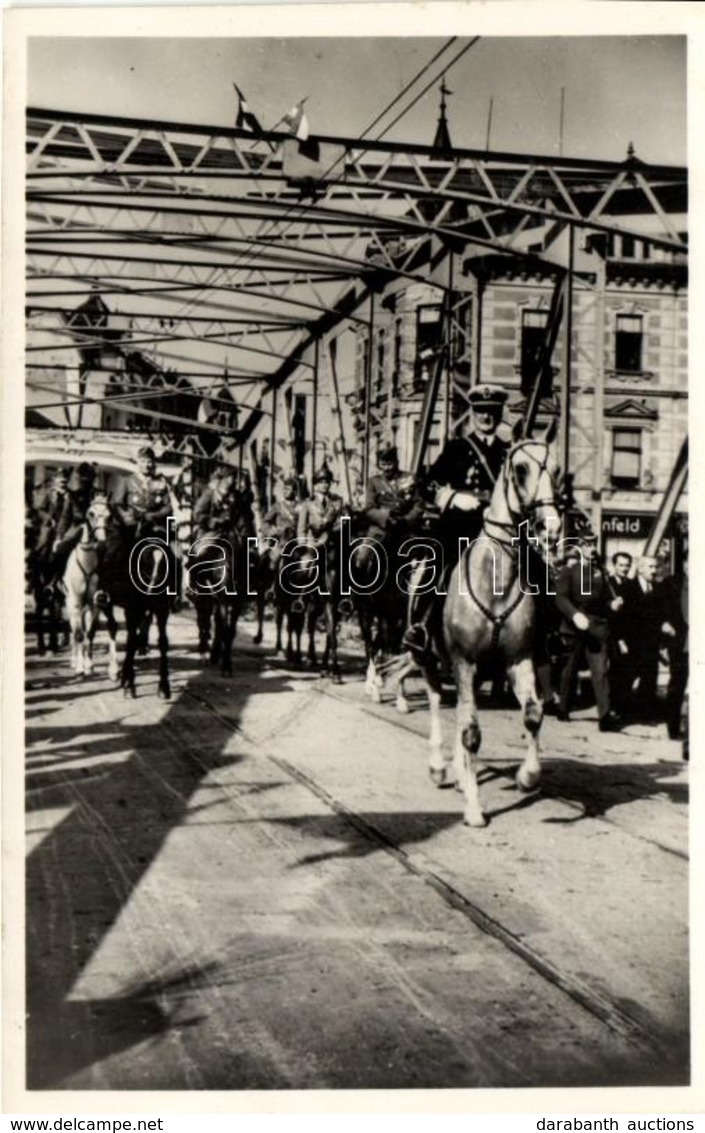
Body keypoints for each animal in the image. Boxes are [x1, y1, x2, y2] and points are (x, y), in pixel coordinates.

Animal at [419, 437, 564, 829]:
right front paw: (473, 807)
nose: (551, 527)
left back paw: (457, 771)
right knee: (437, 700)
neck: (496, 578)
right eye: (521, 469)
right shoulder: (463, 661)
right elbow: (471, 733)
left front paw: (527, 777)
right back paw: (438, 767)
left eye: (557, 470)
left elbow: (532, 715)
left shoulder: (518, 659)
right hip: (429, 658)